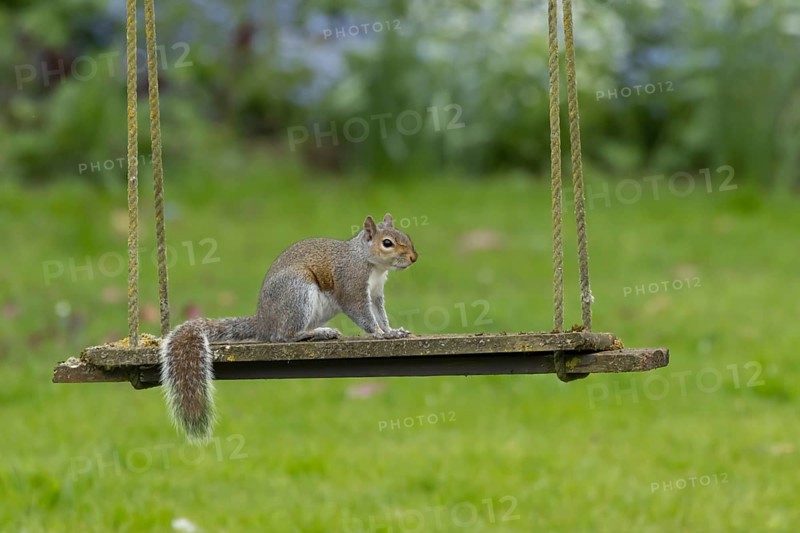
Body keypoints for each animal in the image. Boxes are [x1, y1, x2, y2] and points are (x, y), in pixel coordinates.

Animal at [160, 213, 418, 443]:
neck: (370, 263)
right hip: (298, 293)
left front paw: (392, 331)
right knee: (284, 336)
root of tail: (263, 322)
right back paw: (317, 333)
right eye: (387, 243)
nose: (414, 257)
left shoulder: (376, 294)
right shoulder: (352, 286)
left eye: (405, 235)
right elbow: (363, 315)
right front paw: (379, 334)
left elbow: (381, 315)